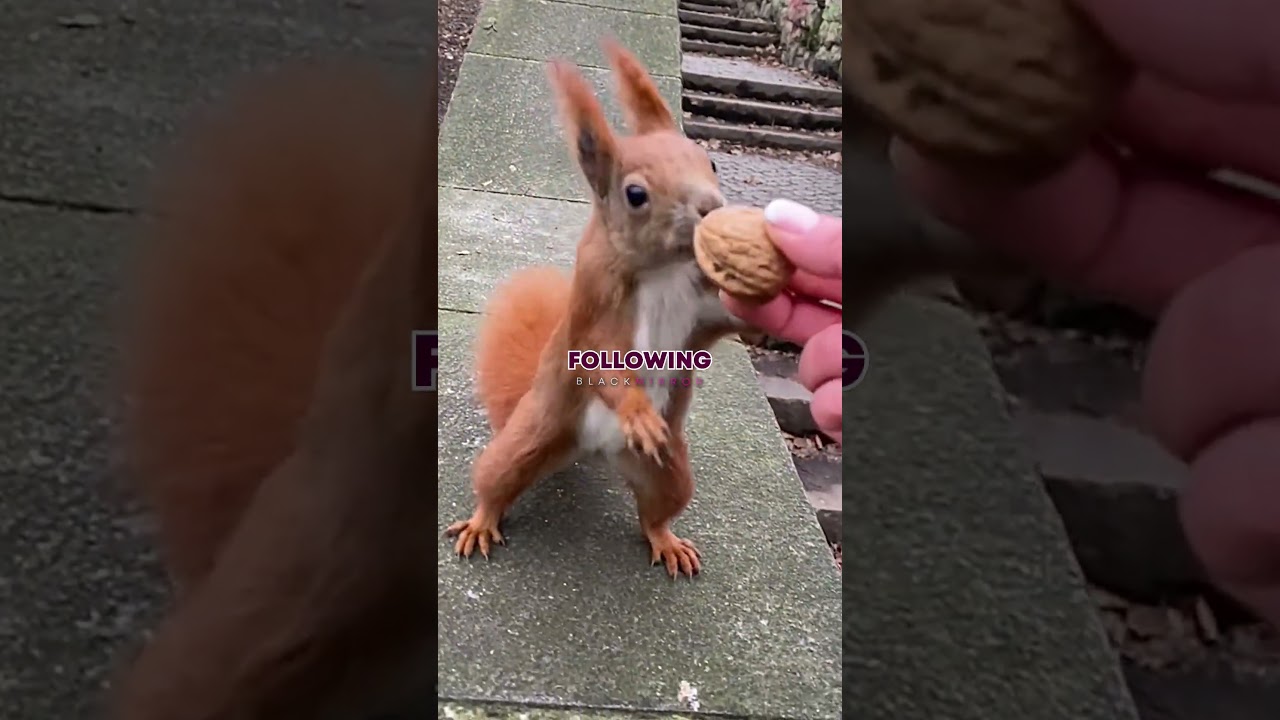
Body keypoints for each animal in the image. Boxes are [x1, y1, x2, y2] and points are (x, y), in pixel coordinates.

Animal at [444, 41, 749, 579]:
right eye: (636, 194)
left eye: (710, 162)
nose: (713, 208)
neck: (664, 269)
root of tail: (593, 451)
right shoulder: (593, 308)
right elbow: (601, 360)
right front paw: (636, 412)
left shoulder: (702, 307)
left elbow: (726, 321)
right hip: (527, 439)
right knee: (495, 481)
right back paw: (482, 520)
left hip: (669, 472)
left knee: (655, 513)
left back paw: (666, 539)